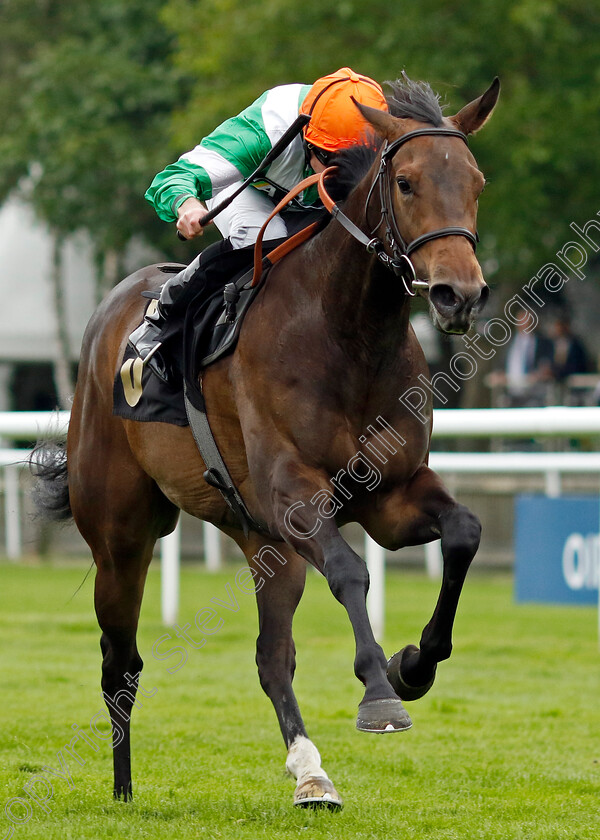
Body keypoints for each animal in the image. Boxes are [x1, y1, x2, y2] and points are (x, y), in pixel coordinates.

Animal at [35, 75, 500, 812]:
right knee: (120, 663)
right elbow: (351, 572)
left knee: (270, 658)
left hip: (263, 543)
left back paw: (312, 774)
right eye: (405, 182)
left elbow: (464, 532)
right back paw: (123, 789)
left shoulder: (391, 496)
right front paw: (380, 695)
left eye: (476, 182)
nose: (461, 293)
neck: (347, 334)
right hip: (120, 535)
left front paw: (414, 665)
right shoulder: (294, 494)